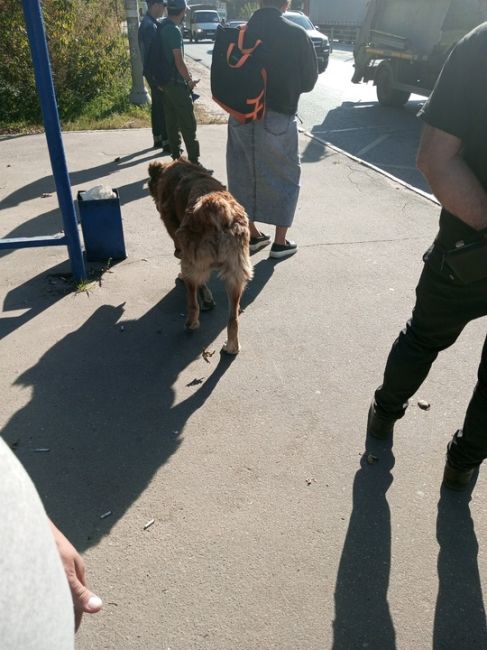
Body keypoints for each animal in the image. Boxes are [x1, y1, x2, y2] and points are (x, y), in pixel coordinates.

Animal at [148, 158, 255, 354]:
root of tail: (215, 207)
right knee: (233, 318)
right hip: (236, 273)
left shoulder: (180, 242)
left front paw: (206, 298)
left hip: (193, 261)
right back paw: (232, 346)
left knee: (192, 300)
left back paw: (191, 323)